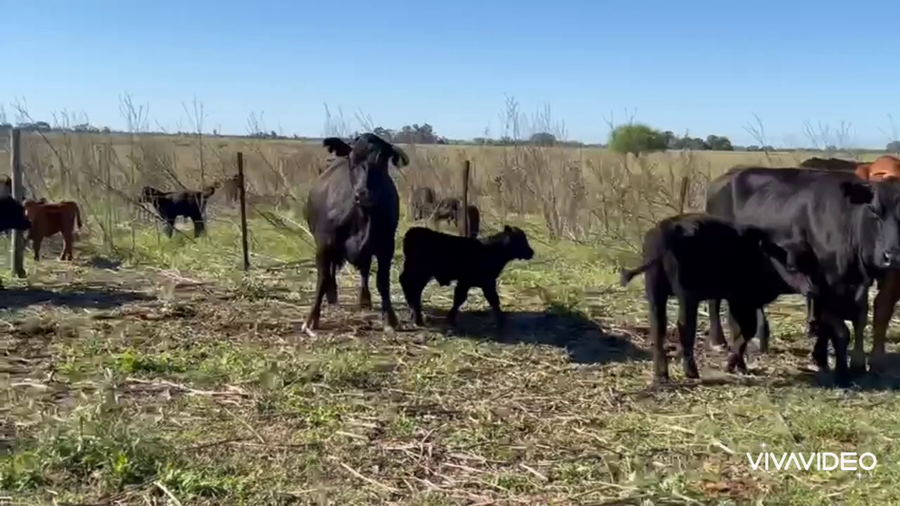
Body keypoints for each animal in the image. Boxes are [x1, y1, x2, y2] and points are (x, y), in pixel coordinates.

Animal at [302, 133, 409, 335]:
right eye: (352, 160)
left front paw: (390, 319)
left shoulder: (386, 246)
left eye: (382, 160)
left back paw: (364, 299)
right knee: (331, 272)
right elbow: (322, 279)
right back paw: (332, 295)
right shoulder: (324, 244)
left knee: (364, 271)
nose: (363, 194)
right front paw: (312, 319)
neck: (363, 217)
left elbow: (382, 282)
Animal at [399, 225, 534, 331]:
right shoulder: (484, 281)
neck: (491, 251)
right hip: (419, 272)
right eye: (520, 240)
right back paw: (417, 318)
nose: (531, 252)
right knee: (411, 287)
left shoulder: (468, 282)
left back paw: (414, 314)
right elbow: (491, 299)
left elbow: (461, 299)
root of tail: (412, 232)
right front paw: (501, 321)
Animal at [619, 213, 816, 383]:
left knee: (658, 327)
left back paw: (661, 374)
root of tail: (664, 230)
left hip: (655, 292)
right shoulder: (742, 301)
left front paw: (741, 367)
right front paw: (731, 365)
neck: (761, 254)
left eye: (812, 263)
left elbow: (737, 330)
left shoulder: (740, 302)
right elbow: (745, 331)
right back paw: (691, 371)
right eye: (791, 266)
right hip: (687, 295)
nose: (812, 288)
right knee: (684, 327)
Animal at [705, 166, 900, 386]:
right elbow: (840, 330)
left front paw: (836, 361)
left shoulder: (855, 285)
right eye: (874, 211)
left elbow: (856, 319)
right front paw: (841, 372)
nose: (892, 257)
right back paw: (718, 341)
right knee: (714, 300)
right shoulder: (827, 283)